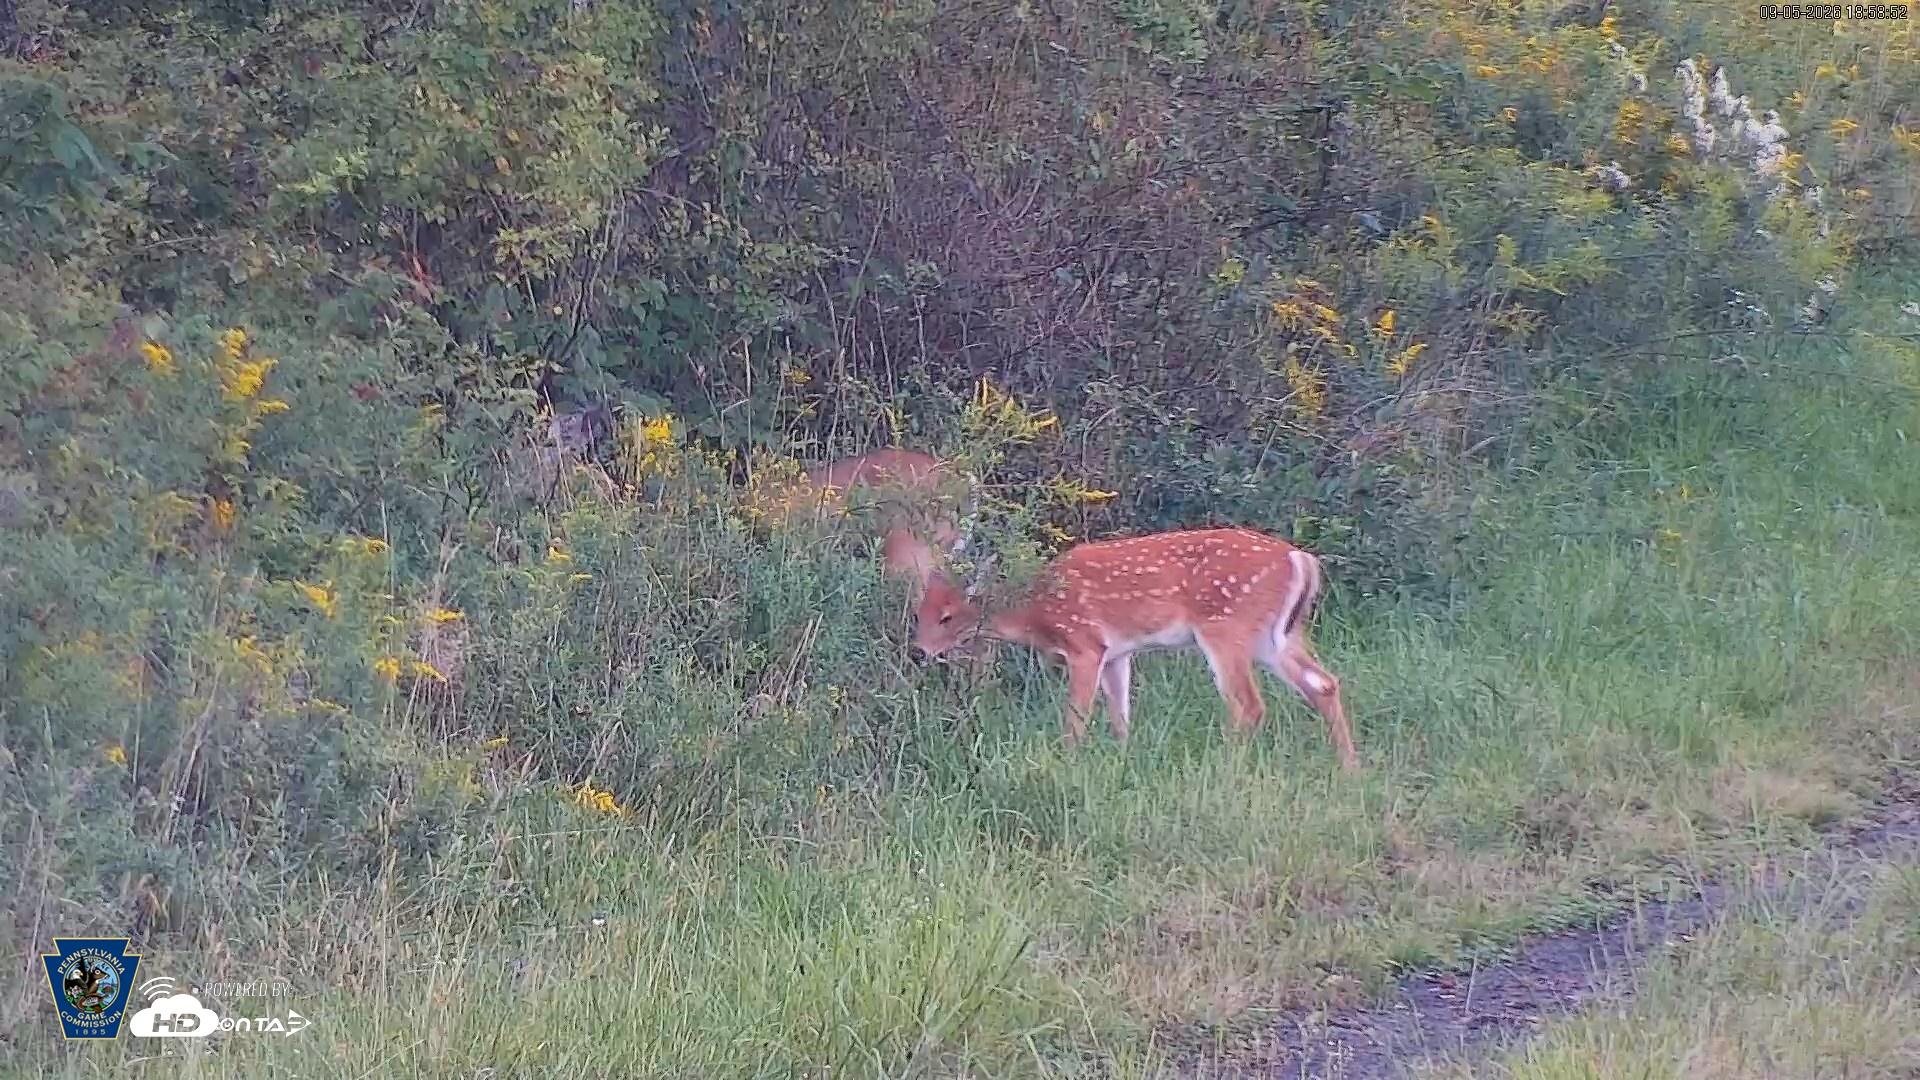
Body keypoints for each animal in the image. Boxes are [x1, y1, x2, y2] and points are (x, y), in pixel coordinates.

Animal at [906, 526, 1359, 770]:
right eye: (918, 613)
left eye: (947, 616)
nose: (918, 652)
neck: (1039, 613)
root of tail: (1300, 559)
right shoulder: (1119, 653)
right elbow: (1120, 717)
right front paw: (1124, 762)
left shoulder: (1085, 644)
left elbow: (1076, 719)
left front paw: (1068, 764)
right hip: (1276, 637)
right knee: (1324, 684)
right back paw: (1350, 768)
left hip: (1226, 627)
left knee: (1248, 704)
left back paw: (1225, 767)